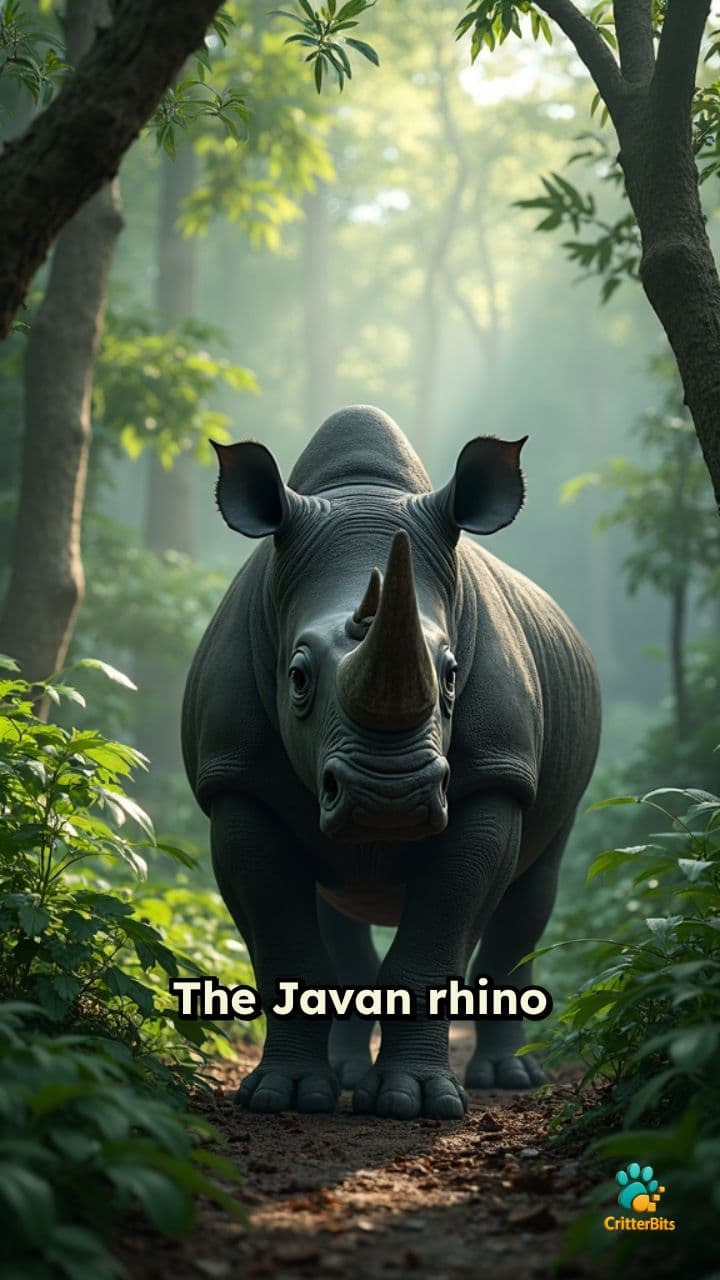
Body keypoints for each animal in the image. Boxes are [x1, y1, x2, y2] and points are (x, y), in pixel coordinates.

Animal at [182, 405, 601, 1119]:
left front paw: (417, 1103)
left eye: (452, 674)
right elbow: (287, 944)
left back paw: (509, 1078)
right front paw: (284, 1097)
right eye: (296, 676)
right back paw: (343, 1075)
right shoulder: (235, 780)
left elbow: (437, 940)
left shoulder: (495, 775)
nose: (391, 798)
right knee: (338, 900)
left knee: (533, 888)